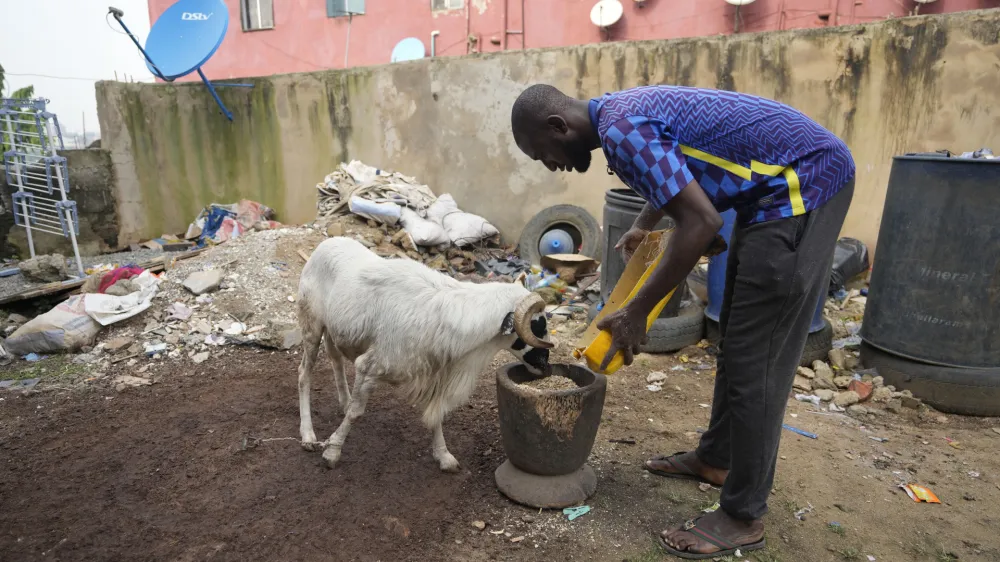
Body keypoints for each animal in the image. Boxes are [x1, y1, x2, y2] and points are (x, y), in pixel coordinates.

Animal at [294, 234, 556, 470]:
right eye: (537, 324)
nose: (546, 365)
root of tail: (326, 243)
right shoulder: (370, 366)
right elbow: (356, 413)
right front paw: (332, 451)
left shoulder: (435, 374)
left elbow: (436, 414)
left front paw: (444, 457)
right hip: (311, 325)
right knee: (304, 374)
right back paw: (308, 435)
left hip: (334, 329)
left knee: (335, 359)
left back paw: (343, 402)